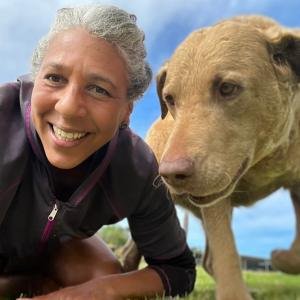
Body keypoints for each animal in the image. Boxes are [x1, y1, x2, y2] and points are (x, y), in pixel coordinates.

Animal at [123, 15, 300, 298]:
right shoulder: (217, 199)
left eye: (227, 88)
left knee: (206, 260)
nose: (170, 174)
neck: (264, 159)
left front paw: (280, 257)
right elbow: (226, 252)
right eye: (170, 99)